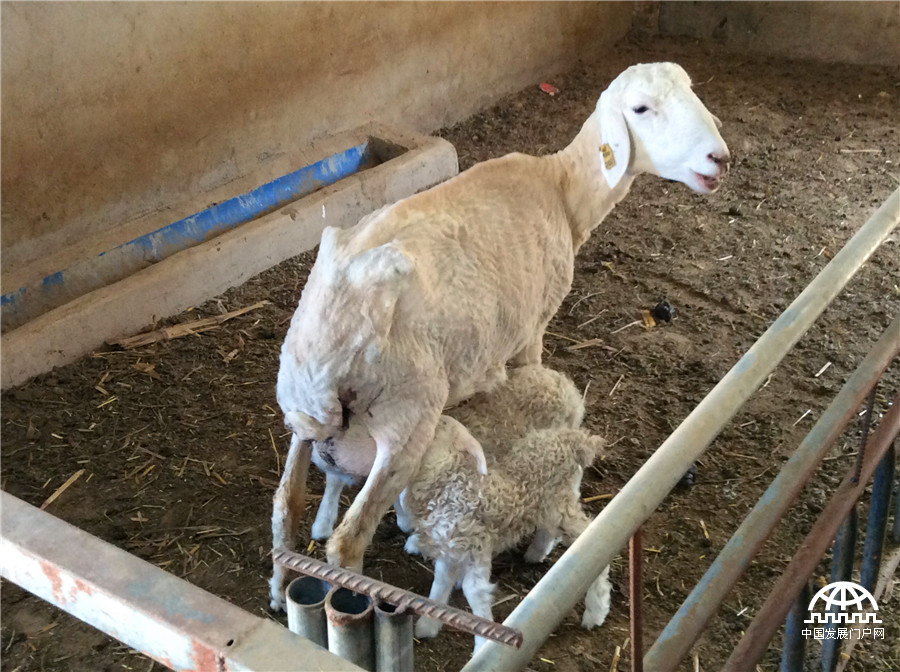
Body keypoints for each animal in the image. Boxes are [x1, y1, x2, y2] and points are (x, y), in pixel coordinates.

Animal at [270, 61, 728, 608]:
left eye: (692, 91)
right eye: (641, 108)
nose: (719, 158)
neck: (562, 191)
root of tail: (334, 320)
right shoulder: (534, 328)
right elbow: (535, 389)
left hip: (299, 412)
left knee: (287, 502)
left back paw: (278, 591)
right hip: (406, 417)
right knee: (346, 541)